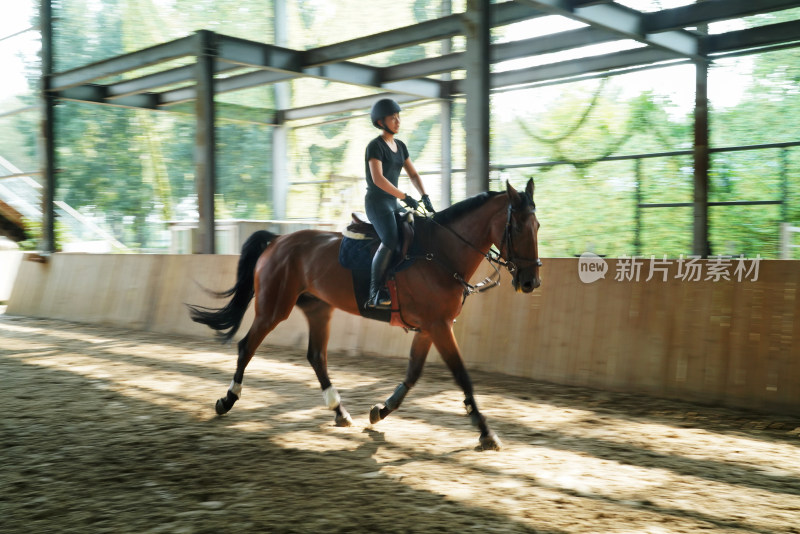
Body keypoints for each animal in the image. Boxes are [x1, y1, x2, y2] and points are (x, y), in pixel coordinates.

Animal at [187, 181, 536, 452]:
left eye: (537, 227)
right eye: (518, 227)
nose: (531, 281)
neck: (440, 252)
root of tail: (278, 240)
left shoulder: (430, 328)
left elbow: (413, 373)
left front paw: (380, 411)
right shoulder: (438, 326)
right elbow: (462, 376)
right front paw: (486, 433)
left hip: (318, 308)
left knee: (316, 356)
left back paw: (339, 411)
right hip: (273, 308)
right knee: (247, 346)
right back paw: (227, 400)